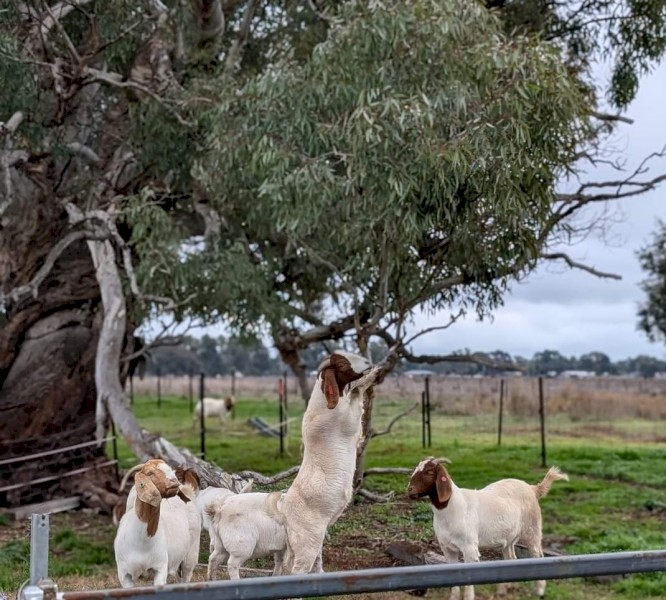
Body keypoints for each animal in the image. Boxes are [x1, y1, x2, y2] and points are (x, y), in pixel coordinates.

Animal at [113, 459, 201, 588]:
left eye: (170, 469)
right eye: (150, 473)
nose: (174, 482)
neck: (141, 542)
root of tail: (187, 490)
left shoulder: (160, 568)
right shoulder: (124, 575)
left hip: (190, 556)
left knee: (186, 575)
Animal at [280, 350, 382, 575]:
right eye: (341, 364)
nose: (368, 363)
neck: (321, 402)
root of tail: (285, 516)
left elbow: (356, 391)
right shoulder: (345, 417)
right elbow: (356, 397)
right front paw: (370, 376)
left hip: (300, 543)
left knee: (292, 564)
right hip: (307, 540)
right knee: (298, 568)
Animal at [407, 457, 569, 600]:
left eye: (429, 472)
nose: (409, 490)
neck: (451, 508)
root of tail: (533, 488)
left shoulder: (470, 547)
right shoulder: (447, 547)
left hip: (532, 529)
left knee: (538, 555)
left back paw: (539, 591)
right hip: (510, 536)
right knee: (511, 557)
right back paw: (504, 590)